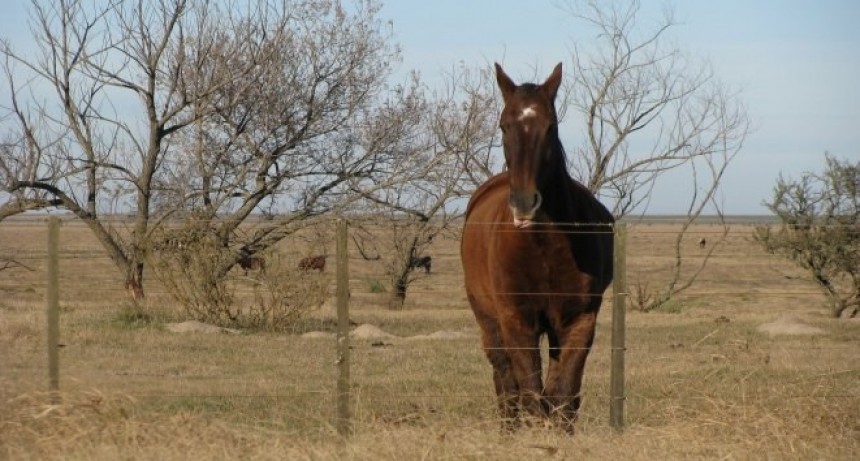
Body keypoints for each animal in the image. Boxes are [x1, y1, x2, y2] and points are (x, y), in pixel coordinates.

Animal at [460, 63, 614, 433]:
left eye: (551, 126)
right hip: (489, 321)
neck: (545, 245)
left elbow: (563, 395)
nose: (524, 203)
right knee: (506, 383)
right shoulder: (517, 321)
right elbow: (529, 392)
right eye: (504, 125)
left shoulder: (578, 322)